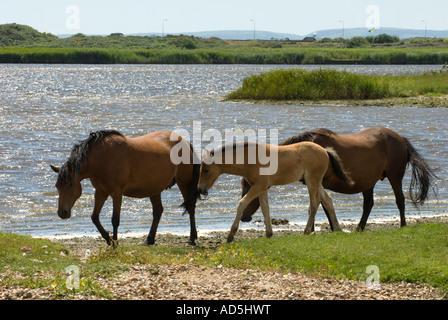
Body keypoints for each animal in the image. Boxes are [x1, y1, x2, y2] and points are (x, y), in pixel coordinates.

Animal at [50, 129, 201, 245]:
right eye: (57, 186)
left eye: (70, 184)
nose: (62, 213)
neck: (102, 157)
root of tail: (184, 141)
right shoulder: (101, 192)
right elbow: (95, 217)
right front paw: (108, 239)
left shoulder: (116, 193)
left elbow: (115, 220)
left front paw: (115, 243)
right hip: (154, 188)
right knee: (158, 211)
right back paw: (150, 239)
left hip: (184, 182)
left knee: (190, 207)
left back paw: (192, 238)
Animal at [198, 141, 352, 241]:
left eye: (206, 170)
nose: (200, 189)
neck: (250, 159)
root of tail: (324, 151)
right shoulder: (262, 188)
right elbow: (265, 208)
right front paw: (268, 233)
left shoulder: (258, 186)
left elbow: (242, 203)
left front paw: (231, 235)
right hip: (316, 182)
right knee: (328, 200)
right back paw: (337, 228)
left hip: (311, 181)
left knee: (315, 203)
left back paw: (307, 231)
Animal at [240, 126, 436, 231]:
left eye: (248, 187)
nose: (243, 217)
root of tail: (400, 138)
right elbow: (321, 205)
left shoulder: (319, 183)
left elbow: (319, 205)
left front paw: (317, 229)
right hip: (369, 182)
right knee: (368, 204)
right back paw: (359, 228)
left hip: (395, 177)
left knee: (400, 200)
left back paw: (402, 225)